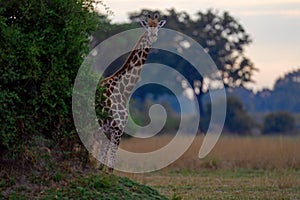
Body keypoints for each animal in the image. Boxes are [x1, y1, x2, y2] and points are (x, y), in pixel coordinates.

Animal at [96, 13, 166, 172]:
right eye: (148, 27)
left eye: (158, 27)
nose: (153, 36)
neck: (124, 91)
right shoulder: (117, 128)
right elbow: (110, 166)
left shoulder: (109, 130)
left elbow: (102, 163)